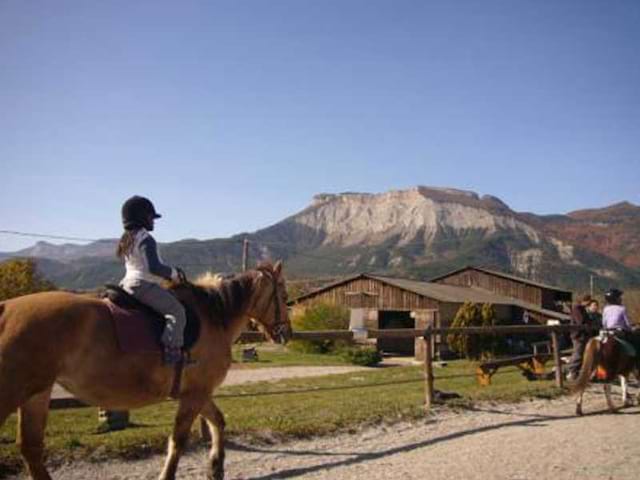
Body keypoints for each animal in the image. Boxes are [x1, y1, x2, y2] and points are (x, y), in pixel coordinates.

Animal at [0, 260, 290, 478]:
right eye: (284, 295)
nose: (286, 332)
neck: (214, 317)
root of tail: (6, 308)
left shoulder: (198, 392)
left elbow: (217, 421)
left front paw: (215, 468)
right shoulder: (195, 395)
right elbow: (178, 440)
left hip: (36, 394)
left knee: (31, 449)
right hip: (14, 393)